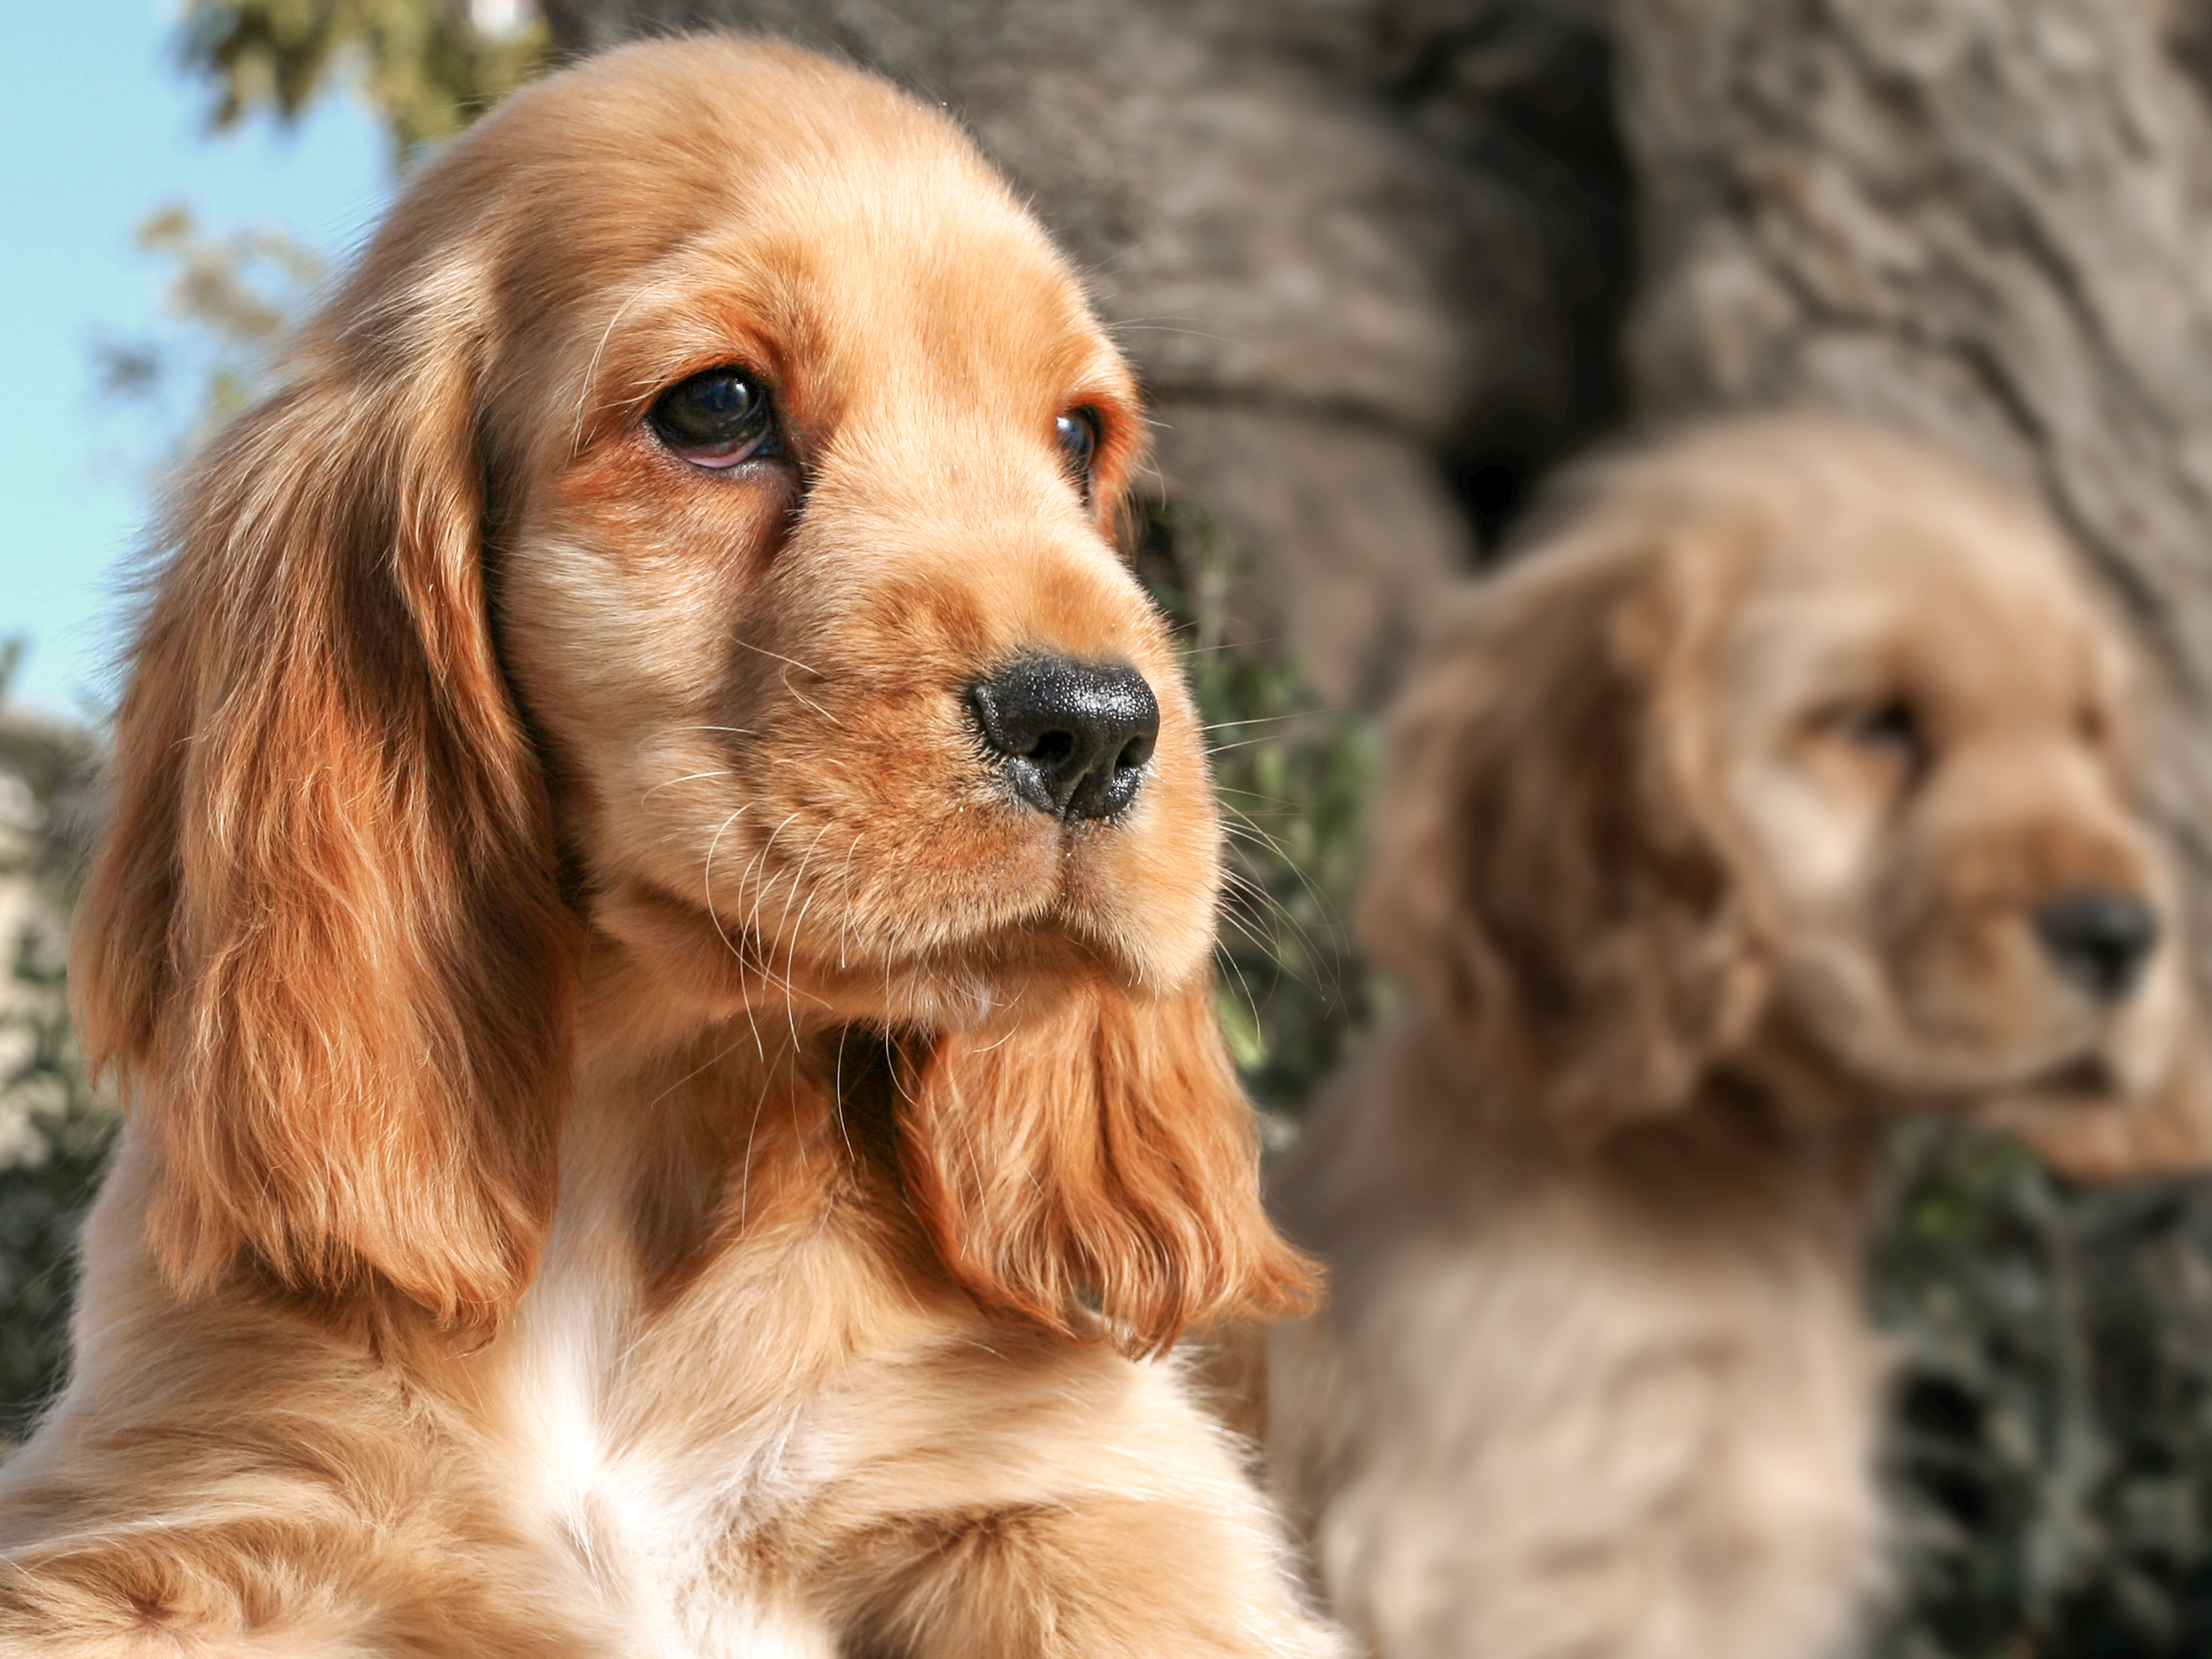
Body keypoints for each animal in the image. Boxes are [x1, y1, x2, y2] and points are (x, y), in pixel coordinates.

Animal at [0, 39, 1336, 1659]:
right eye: (714, 410)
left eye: (1079, 436)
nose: (1092, 727)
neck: (639, 1137)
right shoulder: (201, 1498)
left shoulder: (1086, 1505)